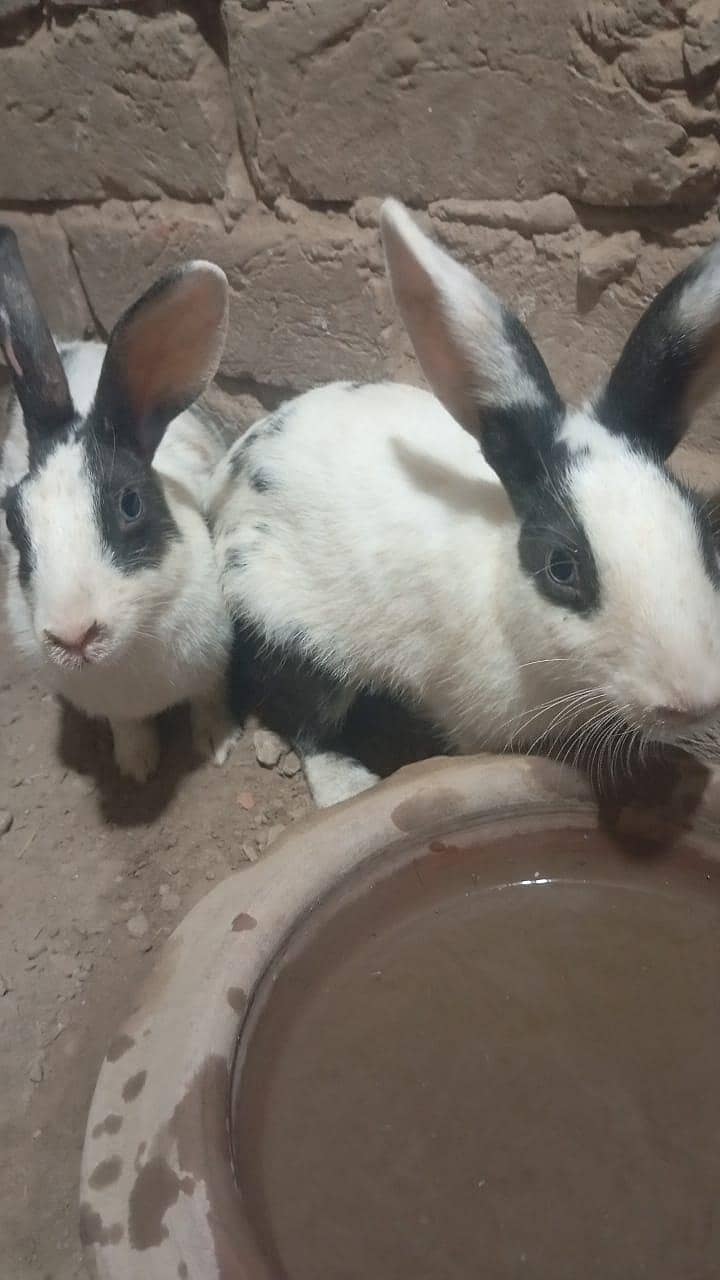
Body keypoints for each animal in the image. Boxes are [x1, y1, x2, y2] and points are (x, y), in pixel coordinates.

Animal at [0, 226, 239, 783]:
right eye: (13, 521)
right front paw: (136, 766)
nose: (74, 636)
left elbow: (209, 701)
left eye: (130, 505)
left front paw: (215, 744)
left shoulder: (214, 663)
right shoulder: (111, 706)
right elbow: (126, 725)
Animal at [209, 200, 720, 808]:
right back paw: (349, 785)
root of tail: (229, 481)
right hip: (291, 630)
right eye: (561, 567)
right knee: (304, 718)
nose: (691, 701)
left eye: (705, 532)